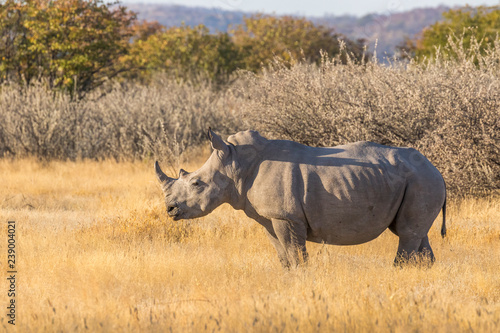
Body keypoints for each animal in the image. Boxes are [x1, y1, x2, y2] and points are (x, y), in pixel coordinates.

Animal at [154, 128, 448, 266]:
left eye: (196, 183)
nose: (170, 209)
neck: (236, 164)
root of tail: (438, 169)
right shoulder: (270, 217)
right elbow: (283, 256)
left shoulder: (286, 216)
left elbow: (296, 255)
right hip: (417, 180)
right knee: (416, 233)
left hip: (422, 180)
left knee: (408, 234)